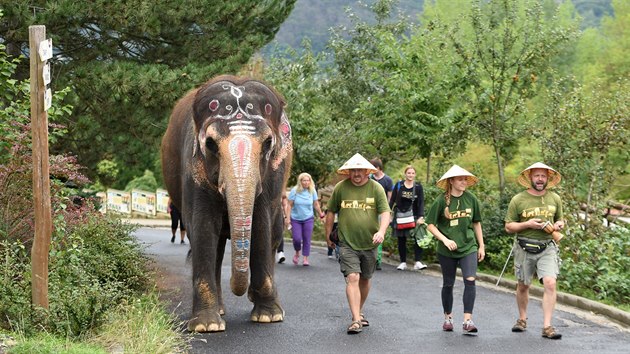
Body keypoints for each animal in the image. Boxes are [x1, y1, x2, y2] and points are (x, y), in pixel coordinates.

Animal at [162, 74, 292, 332]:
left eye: (268, 143)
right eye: (211, 144)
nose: (243, 292)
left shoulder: (273, 176)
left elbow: (261, 226)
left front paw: (267, 317)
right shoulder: (193, 168)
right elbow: (202, 228)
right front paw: (207, 326)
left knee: (273, 235)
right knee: (217, 246)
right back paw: (220, 311)